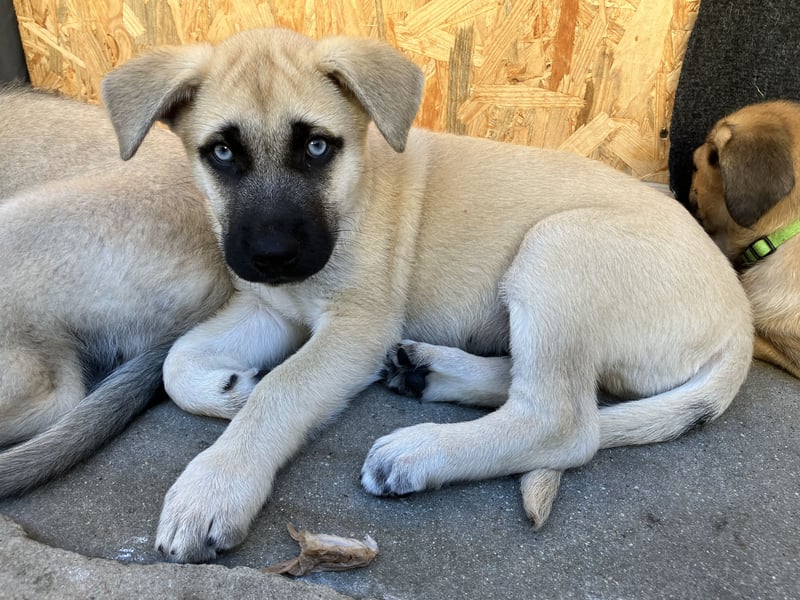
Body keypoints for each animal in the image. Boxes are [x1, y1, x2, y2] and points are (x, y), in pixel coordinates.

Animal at [98, 28, 752, 564]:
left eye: (316, 148)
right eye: (222, 152)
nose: (273, 256)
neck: (356, 191)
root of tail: (740, 316)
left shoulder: (357, 325)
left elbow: (283, 390)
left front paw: (216, 484)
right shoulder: (270, 309)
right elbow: (178, 361)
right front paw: (230, 389)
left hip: (558, 248)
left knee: (564, 420)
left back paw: (419, 452)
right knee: (550, 387)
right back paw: (430, 372)